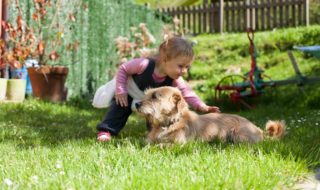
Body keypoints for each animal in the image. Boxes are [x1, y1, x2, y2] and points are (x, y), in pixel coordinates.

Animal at [135, 86, 284, 144]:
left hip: (239, 135)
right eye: (148, 94)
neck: (169, 123)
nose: (136, 104)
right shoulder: (148, 141)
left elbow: (160, 146)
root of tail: (259, 130)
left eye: (154, 97)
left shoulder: (179, 144)